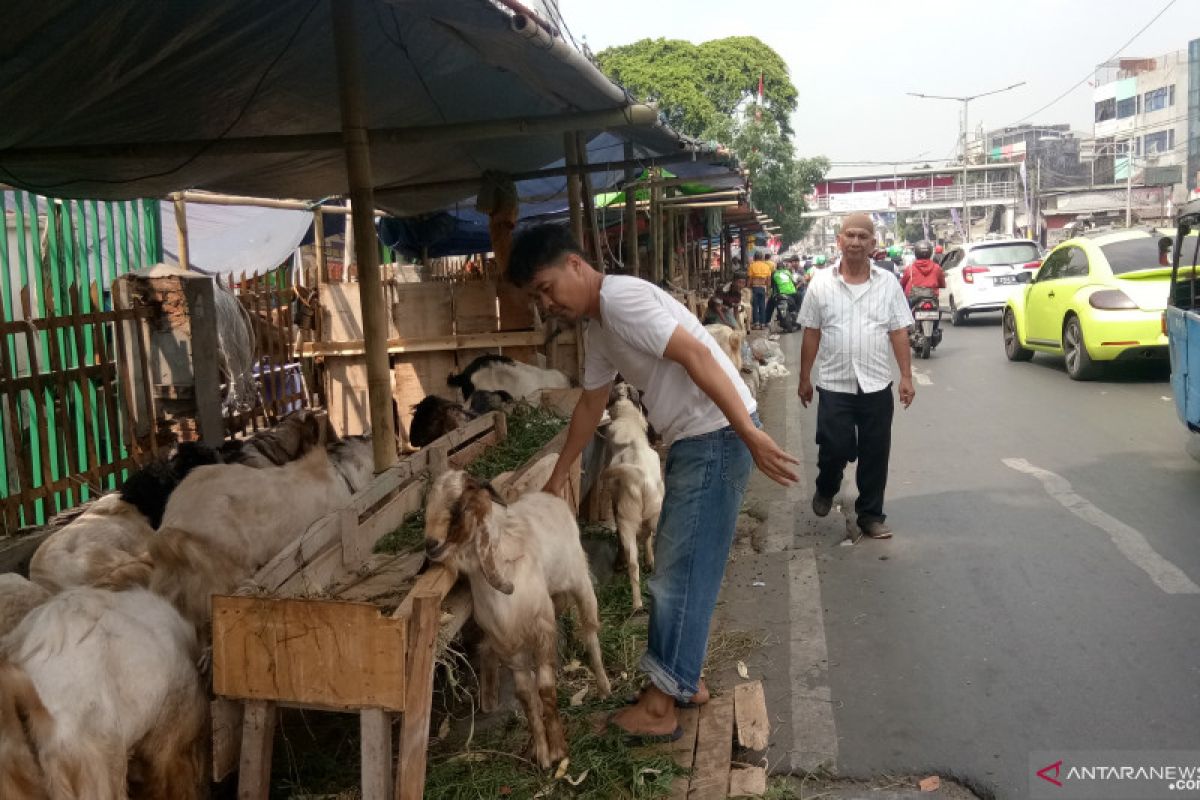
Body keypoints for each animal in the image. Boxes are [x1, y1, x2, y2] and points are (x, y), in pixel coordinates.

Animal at [424, 470, 609, 767]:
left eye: (459, 508)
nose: (430, 545)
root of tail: (549, 495)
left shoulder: (542, 631)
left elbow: (545, 687)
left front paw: (559, 750)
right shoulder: (509, 644)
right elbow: (525, 695)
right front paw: (542, 754)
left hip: (580, 582)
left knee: (590, 633)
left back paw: (604, 688)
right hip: (555, 598)